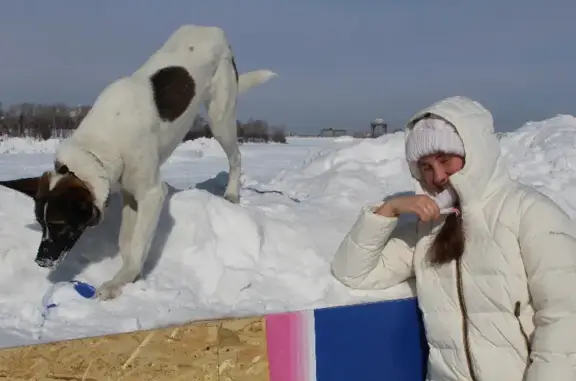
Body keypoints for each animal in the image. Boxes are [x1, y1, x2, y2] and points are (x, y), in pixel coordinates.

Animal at [0, 24, 276, 300]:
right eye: (41, 224)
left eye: (60, 226)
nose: (40, 262)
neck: (99, 145)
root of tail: (212, 29)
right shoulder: (129, 193)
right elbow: (127, 241)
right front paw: (131, 274)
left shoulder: (152, 194)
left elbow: (138, 241)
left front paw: (119, 281)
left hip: (220, 117)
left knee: (236, 157)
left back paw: (232, 193)